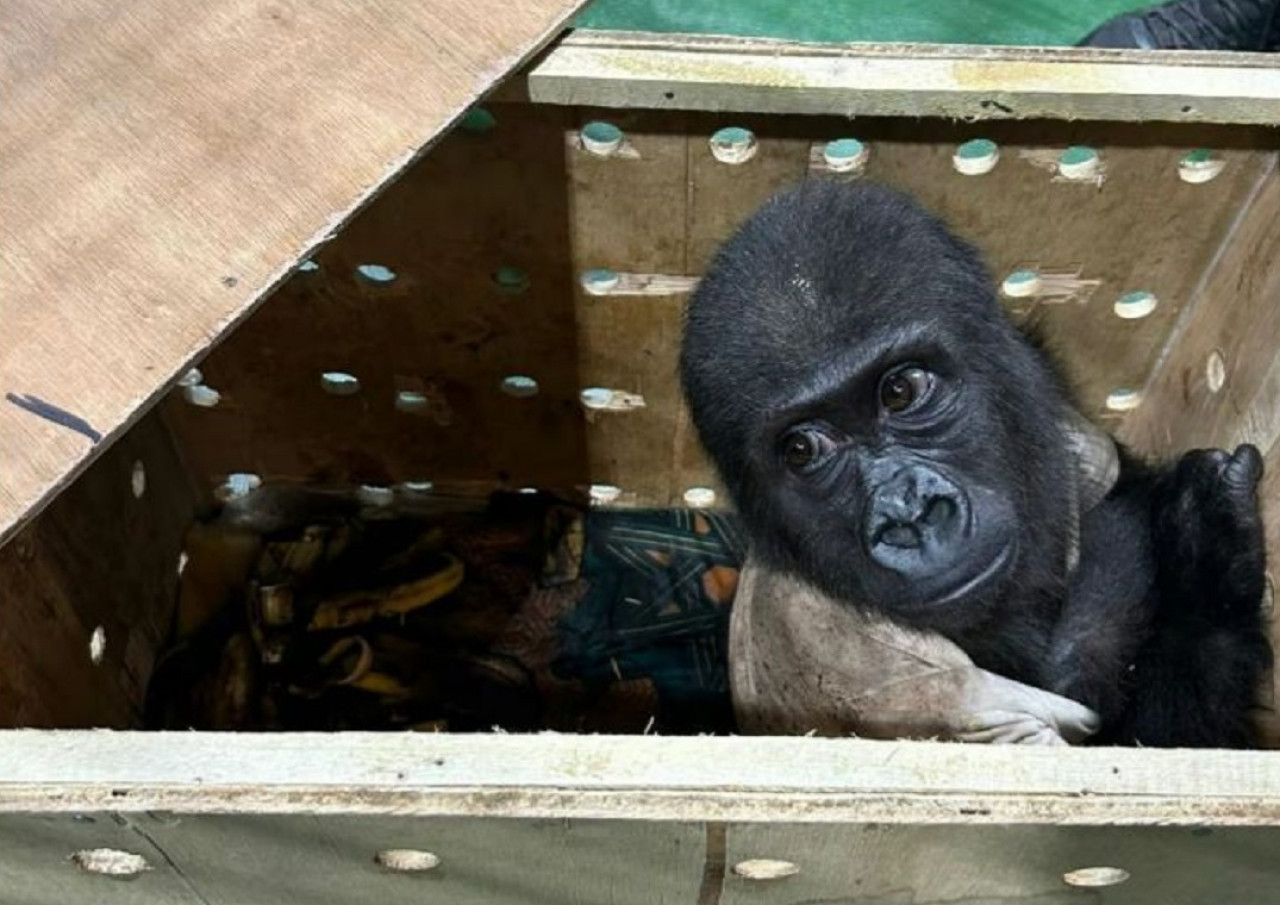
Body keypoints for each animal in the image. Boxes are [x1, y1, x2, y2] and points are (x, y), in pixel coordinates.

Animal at [680, 180, 1269, 747]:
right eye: (803, 449)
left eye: (900, 391)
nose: (909, 514)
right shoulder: (868, 664)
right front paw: (1205, 565)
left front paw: (1204, 552)